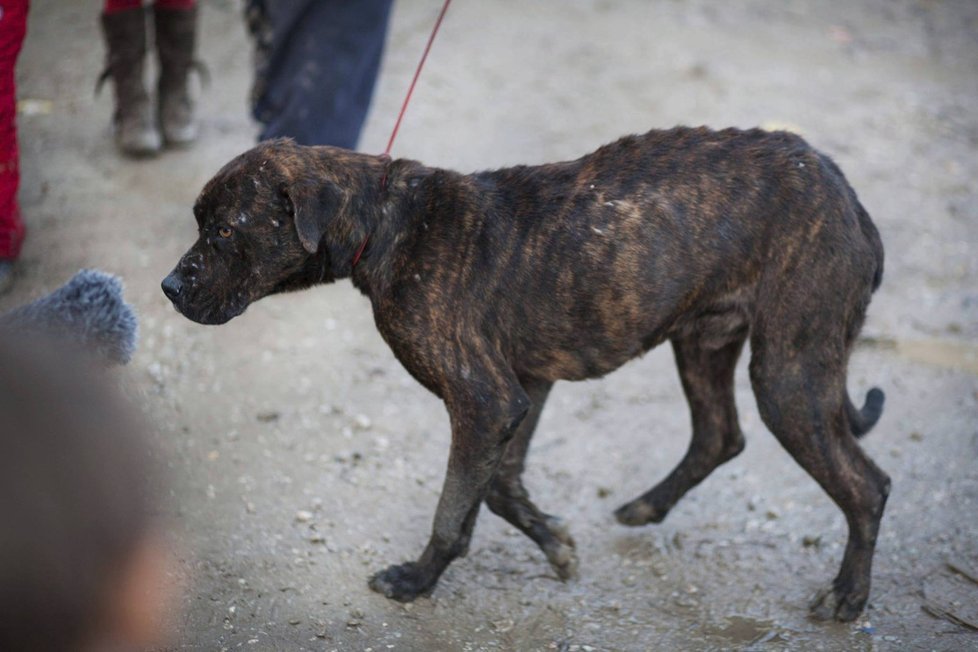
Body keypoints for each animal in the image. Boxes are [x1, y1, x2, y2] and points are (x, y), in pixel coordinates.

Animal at [164, 127, 888, 620]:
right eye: (199, 221)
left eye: (225, 230)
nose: (169, 287)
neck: (386, 220)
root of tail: (849, 196)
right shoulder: (523, 392)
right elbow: (497, 489)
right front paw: (556, 543)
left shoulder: (483, 401)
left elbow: (454, 509)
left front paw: (417, 581)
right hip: (703, 340)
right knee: (720, 434)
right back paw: (647, 505)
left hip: (790, 373)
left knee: (867, 485)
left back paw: (848, 595)